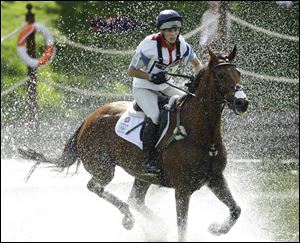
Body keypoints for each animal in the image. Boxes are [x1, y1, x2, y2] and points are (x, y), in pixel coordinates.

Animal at [18, 45, 248, 241]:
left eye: (238, 73)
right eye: (220, 75)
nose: (242, 102)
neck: (199, 133)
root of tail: (88, 119)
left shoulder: (215, 178)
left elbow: (236, 210)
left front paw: (217, 229)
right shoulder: (182, 190)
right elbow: (182, 229)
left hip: (141, 174)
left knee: (135, 200)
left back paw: (156, 226)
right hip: (103, 168)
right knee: (96, 187)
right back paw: (129, 219)